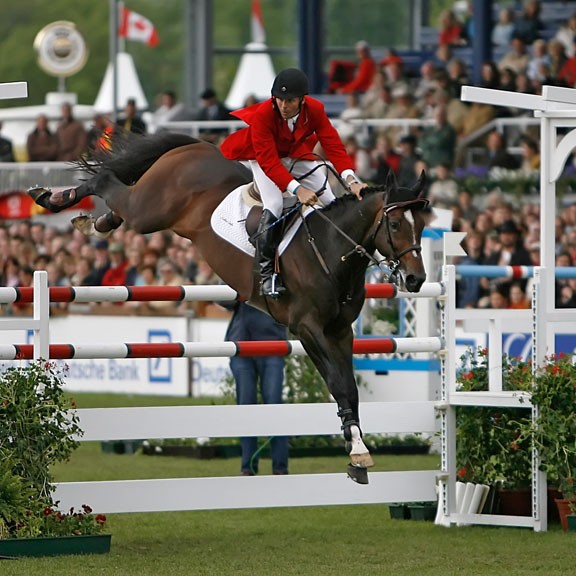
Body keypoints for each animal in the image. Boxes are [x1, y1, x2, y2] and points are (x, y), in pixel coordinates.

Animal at [29, 133, 430, 484]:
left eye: (424, 226)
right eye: (395, 224)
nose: (416, 280)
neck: (331, 249)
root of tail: (198, 145)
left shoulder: (340, 331)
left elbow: (349, 388)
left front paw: (356, 450)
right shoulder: (307, 328)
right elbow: (337, 383)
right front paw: (358, 451)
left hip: (149, 213)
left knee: (118, 200)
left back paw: (93, 221)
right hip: (150, 211)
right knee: (107, 181)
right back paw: (53, 197)